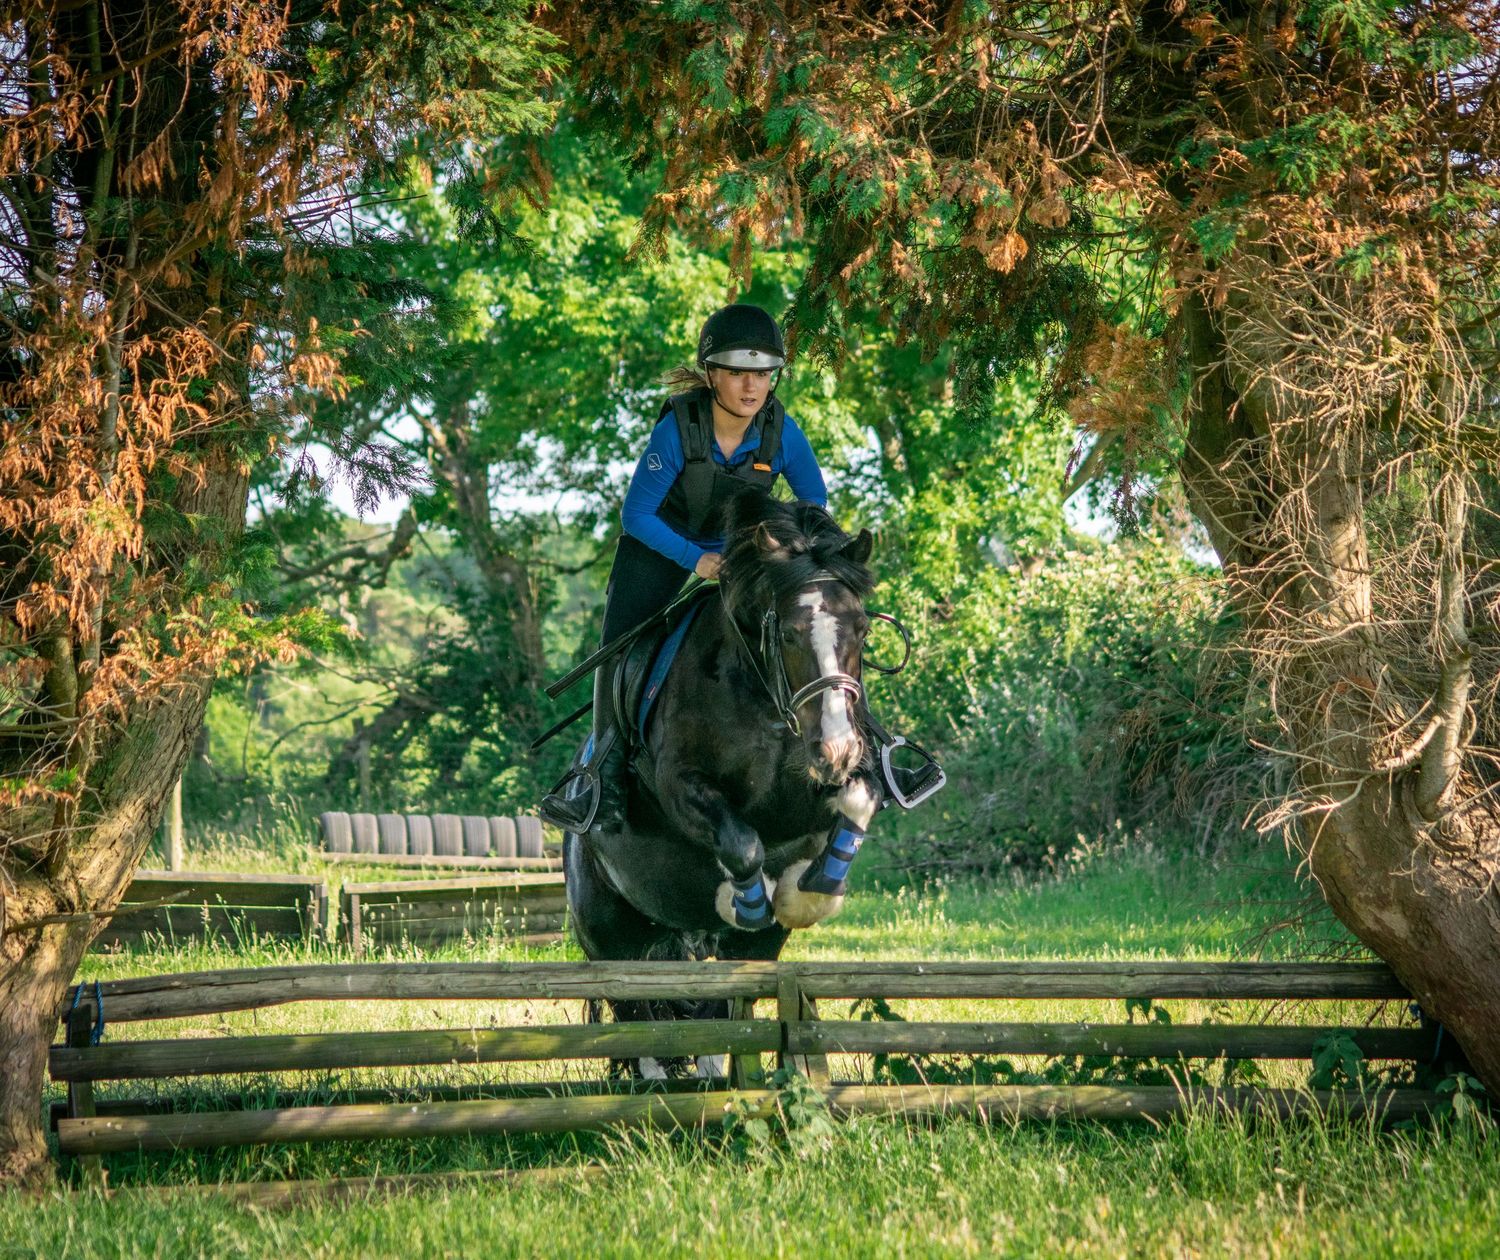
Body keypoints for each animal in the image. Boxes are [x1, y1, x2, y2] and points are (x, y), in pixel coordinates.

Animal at [562, 492, 885, 1059]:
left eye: (862, 630)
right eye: (787, 633)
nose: (838, 748)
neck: (761, 695)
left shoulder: (819, 789)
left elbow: (856, 800)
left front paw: (814, 887)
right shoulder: (682, 787)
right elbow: (741, 841)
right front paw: (749, 904)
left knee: (715, 1014)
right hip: (608, 935)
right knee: (638, 1021)